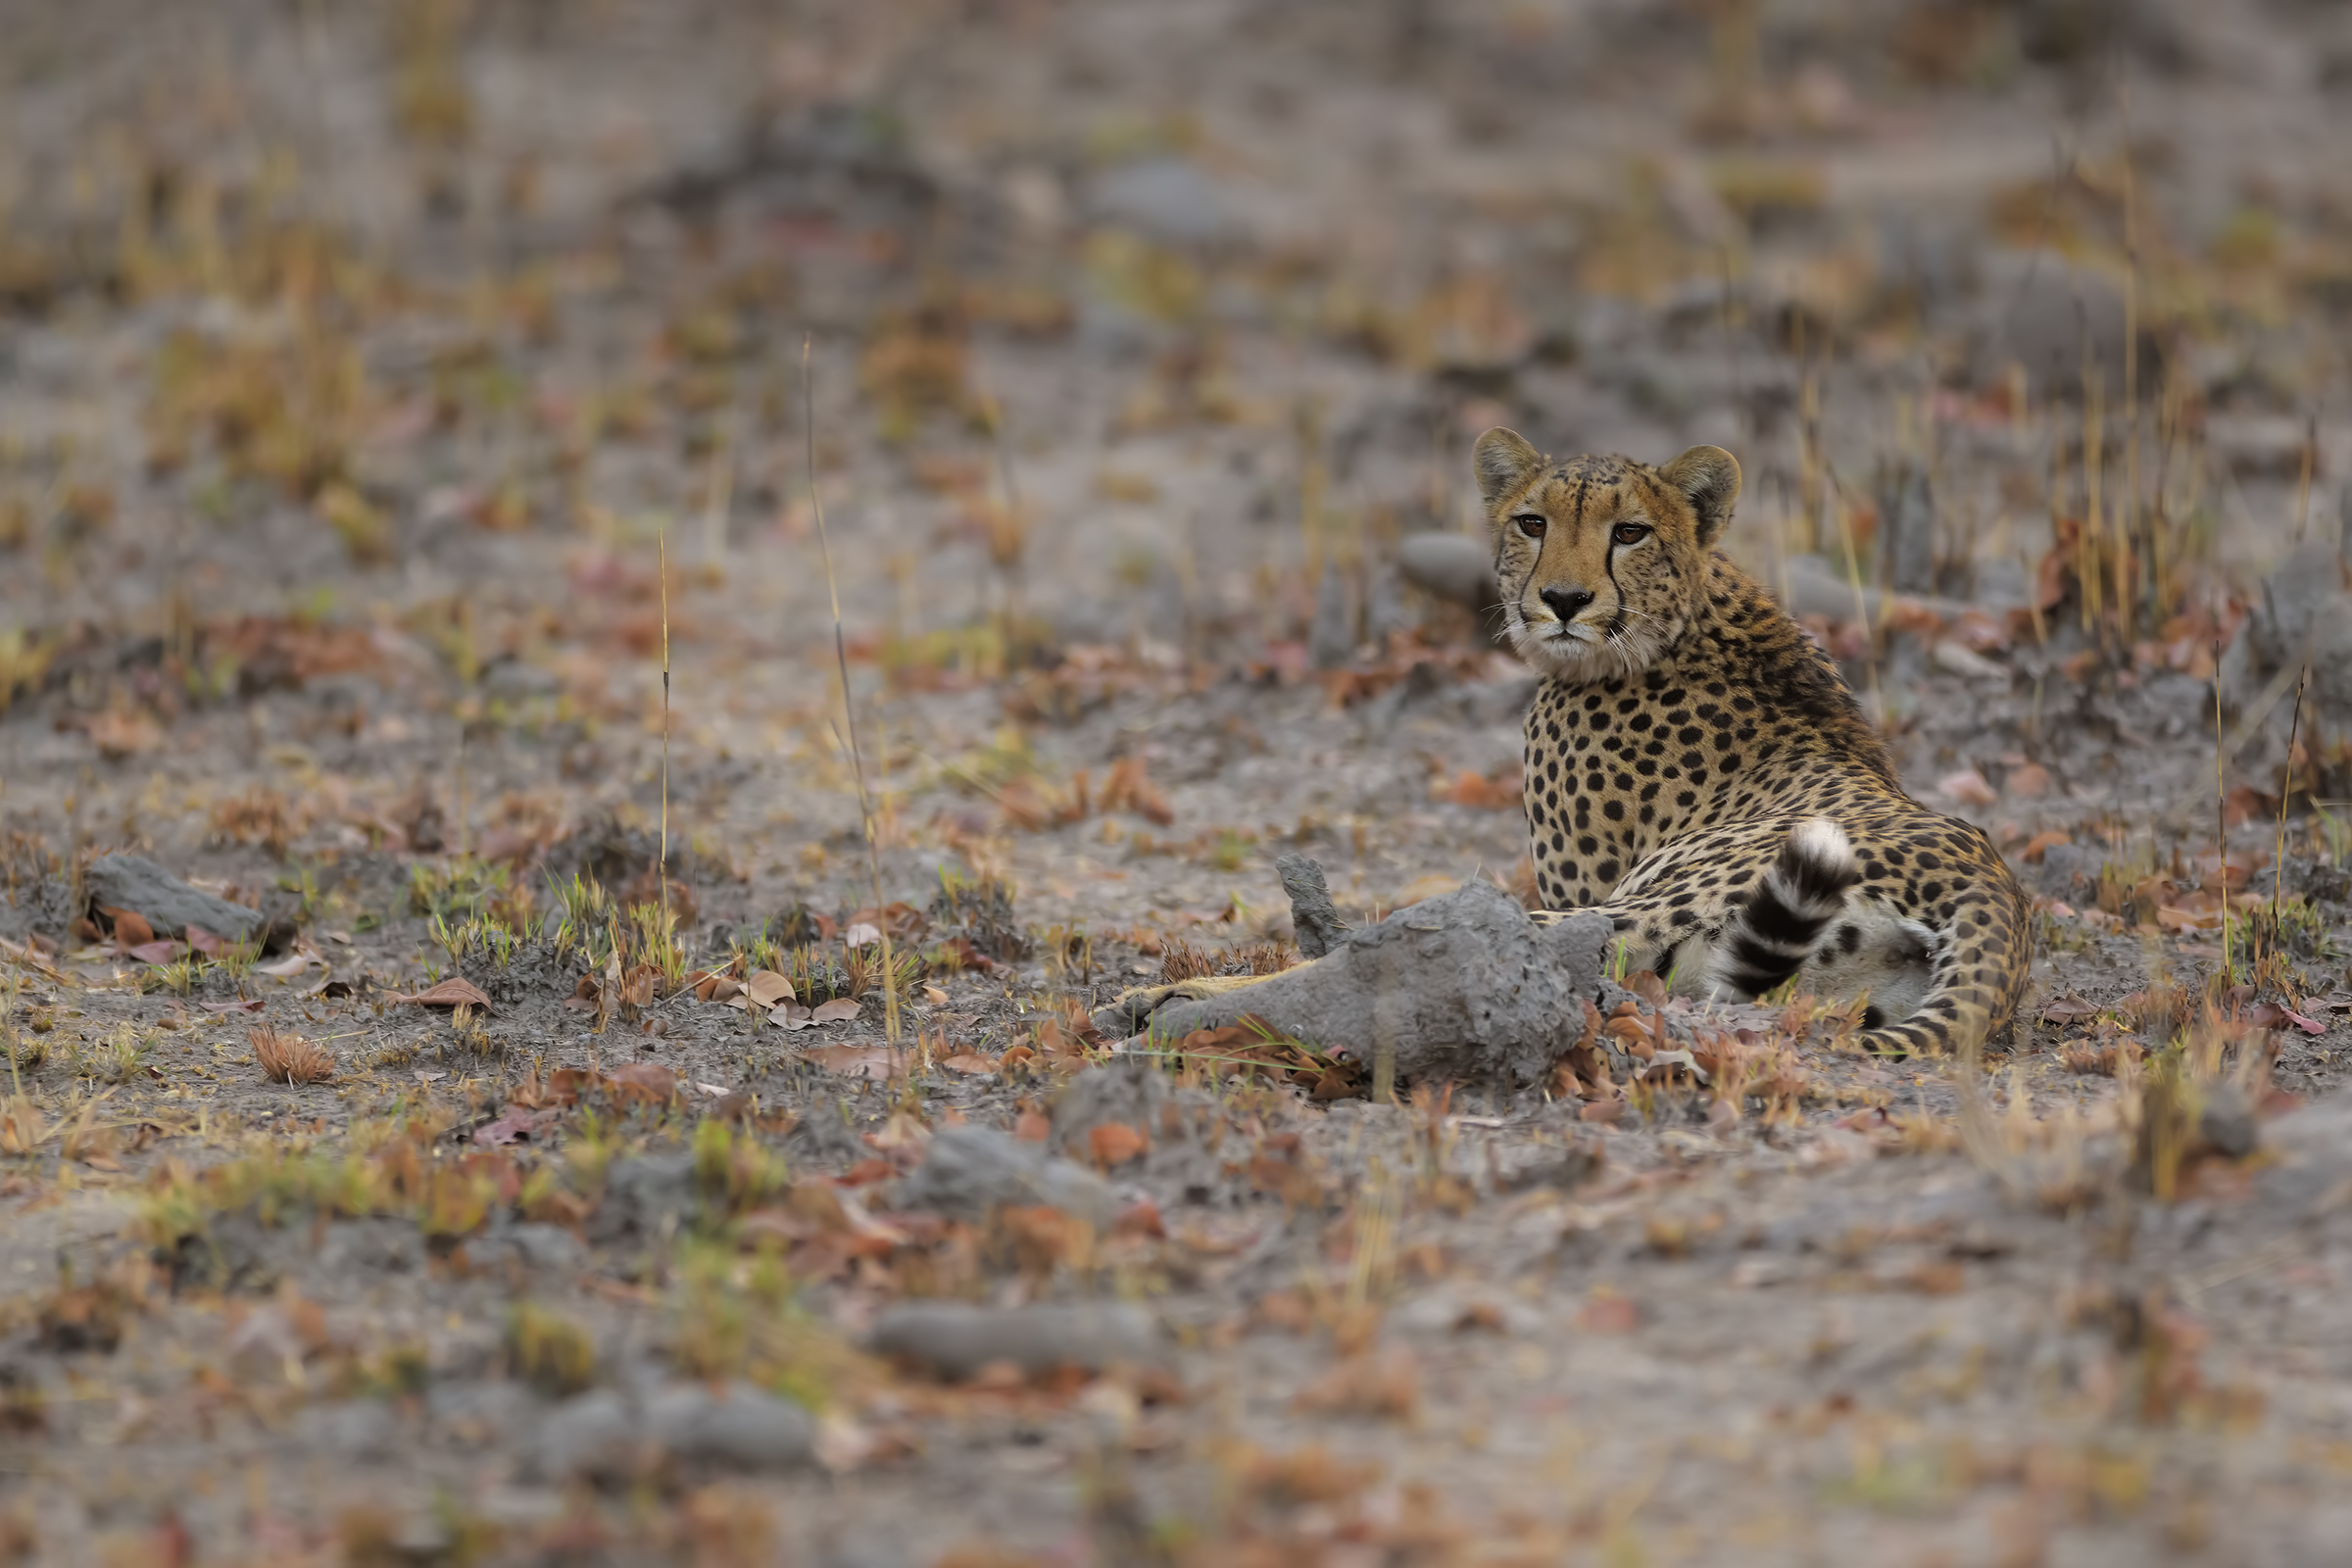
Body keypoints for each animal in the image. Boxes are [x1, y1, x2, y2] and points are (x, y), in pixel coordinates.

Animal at [1475, 427, 2030, 1057]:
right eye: (1532, 524)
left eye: (1629, 532)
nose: (1564, 600)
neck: (1678, 623)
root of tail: (1995, 886)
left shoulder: (1580, 892)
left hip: (1651, 900)